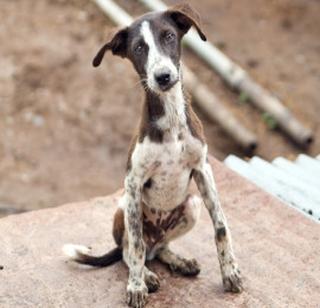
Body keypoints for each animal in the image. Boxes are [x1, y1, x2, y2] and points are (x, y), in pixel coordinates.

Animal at [63, 4, 242, 308]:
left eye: (169, 36)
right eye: (138, 48)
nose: (163, 77)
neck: (171, 119)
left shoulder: (203, 169)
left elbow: (221, 227)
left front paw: (230, 273)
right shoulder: (133, 183)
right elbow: (134, 245)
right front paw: (136, 287)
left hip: (191, 205)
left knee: (159, 248)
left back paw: (178, 261)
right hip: (124, 206)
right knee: (131, 249)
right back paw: (146, 275)